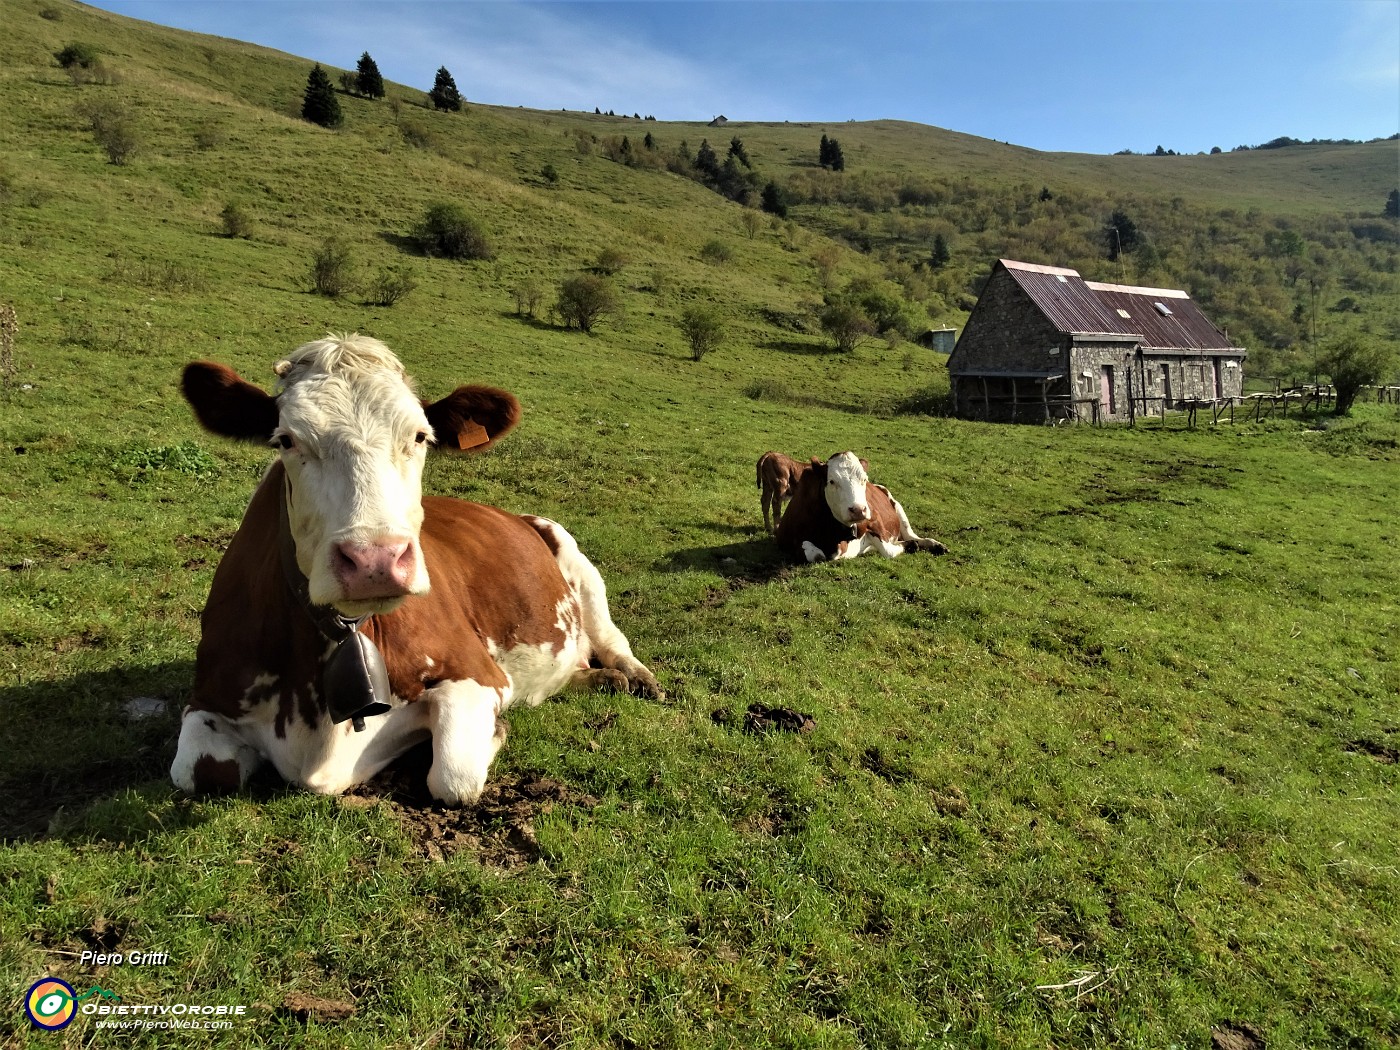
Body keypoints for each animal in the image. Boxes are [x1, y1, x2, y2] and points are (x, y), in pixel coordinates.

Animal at [169, 334, 660, 806]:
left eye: (421, 436)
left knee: (611, 638)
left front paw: (492, 732)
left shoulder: (479, 674)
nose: (374, 561)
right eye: (286, 440)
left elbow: (453, 777)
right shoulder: (206, 698)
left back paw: (635, 677)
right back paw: (598, 680)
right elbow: (199, 773)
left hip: (576, 560)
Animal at [772, 453, 946, 568]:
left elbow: (887, 551)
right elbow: (816, 555)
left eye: (864, 479)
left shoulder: (874, 521)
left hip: (897, 506)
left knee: (911, 535)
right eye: (832, 481)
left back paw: (933, 544)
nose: (858, 510)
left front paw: (911, 546)